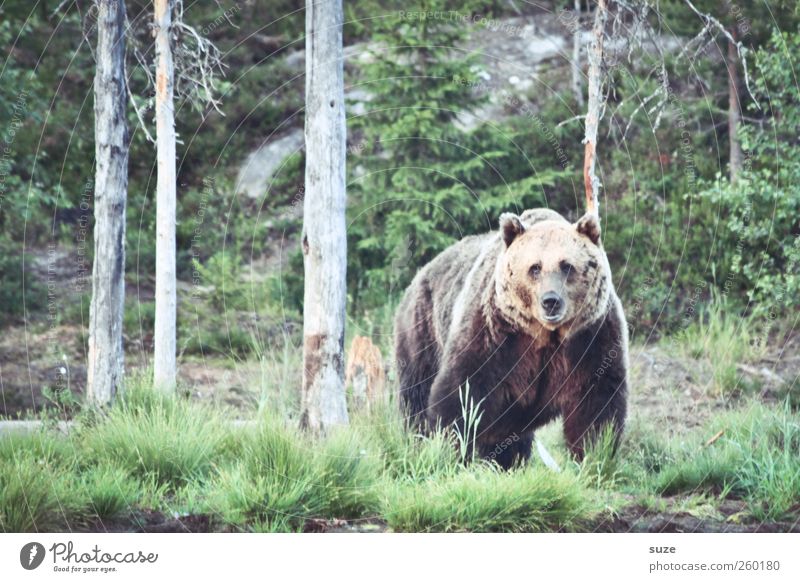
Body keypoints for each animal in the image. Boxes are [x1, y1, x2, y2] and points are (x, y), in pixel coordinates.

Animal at [396, 210, 628, 470]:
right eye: (535, 268)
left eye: (567, 266)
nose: (551, 301)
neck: (546, 334)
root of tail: (421, 273)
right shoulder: (495, 335)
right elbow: (462, 392)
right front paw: (451, 451)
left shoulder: (591, 338)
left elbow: (596, 402)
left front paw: (595, 456)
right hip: (423, 330)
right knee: (417, 391)